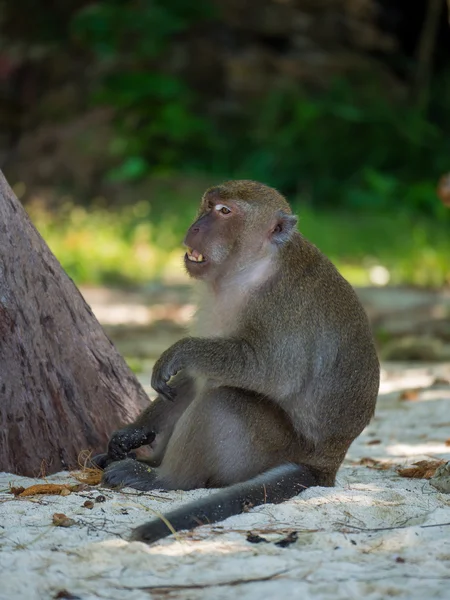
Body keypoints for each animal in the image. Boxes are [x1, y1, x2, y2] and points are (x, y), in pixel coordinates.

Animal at [94, 178, 380, 544]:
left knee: (223, 400)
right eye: (208, 204)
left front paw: (182, 351)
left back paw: (163, 478)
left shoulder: (280, 303)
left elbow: (271, 371)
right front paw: (131, 432)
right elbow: (193, 377)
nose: (196, 226)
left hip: (272, 451)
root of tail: (326, 463)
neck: (251, 267)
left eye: (225, 211)